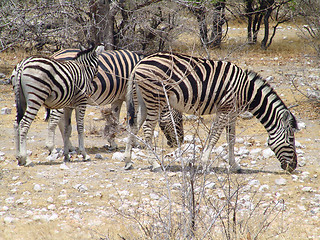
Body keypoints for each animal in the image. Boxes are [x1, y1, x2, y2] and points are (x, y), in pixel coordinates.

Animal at [46, 49, 184, 154]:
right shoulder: (133, 96)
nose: (180, 142)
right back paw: (51, 147)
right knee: (55, 120)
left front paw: (112, 142)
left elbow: (115, 120)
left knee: (61, 121)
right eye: (179, 121)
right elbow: (135, 120)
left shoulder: (118, 98)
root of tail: (55, 55)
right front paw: (134, 143)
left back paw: (69, 147)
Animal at [124, 52, 298, 172]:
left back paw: (127, 160)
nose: (293, 167)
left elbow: (231, 139)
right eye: (291, 139)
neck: (247, 92)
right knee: (147, 129)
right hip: (155, 98)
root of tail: (139, 63)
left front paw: (234, 165)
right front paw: (204, 163)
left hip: (142, 100)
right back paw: (155, 164)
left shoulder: (233, 113)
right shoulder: (225, 109)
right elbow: (215, 136)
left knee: (134, 125)